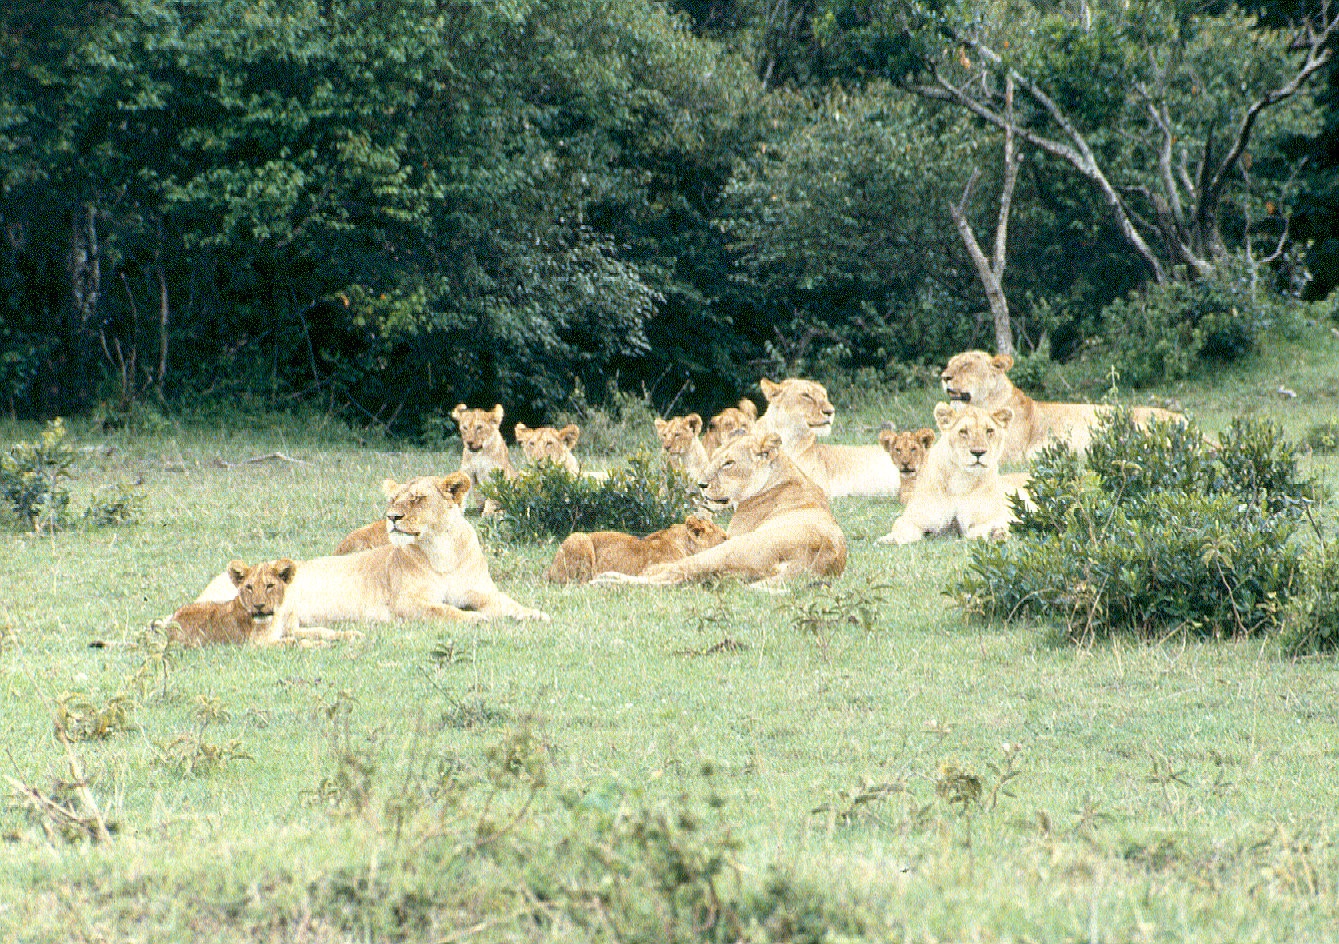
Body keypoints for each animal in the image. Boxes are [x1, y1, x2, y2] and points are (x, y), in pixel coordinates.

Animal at [197, 473, 548, 640]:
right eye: (393, 500)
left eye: (417, 499)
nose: (392, 517)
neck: (441, 550)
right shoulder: (408, 603)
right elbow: (445, 611)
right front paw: (476, 619)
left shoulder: (483, 591)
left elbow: (510, 605)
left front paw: (536, 615)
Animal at [594, 432, 846, 586]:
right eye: (715, 457)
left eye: (729, 463)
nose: (701, 484)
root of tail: (817, 559)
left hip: (730, 548)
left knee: (675, 573)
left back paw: (610, 579)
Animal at [878, 403, 1017, 545]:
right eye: (963, 431)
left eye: (989, 430)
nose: (978, 452)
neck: (961, 481)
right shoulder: (912, 517)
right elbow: (901, 528)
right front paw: (890, 539)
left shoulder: (993, 516)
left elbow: (980, 530)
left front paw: (994, 533)